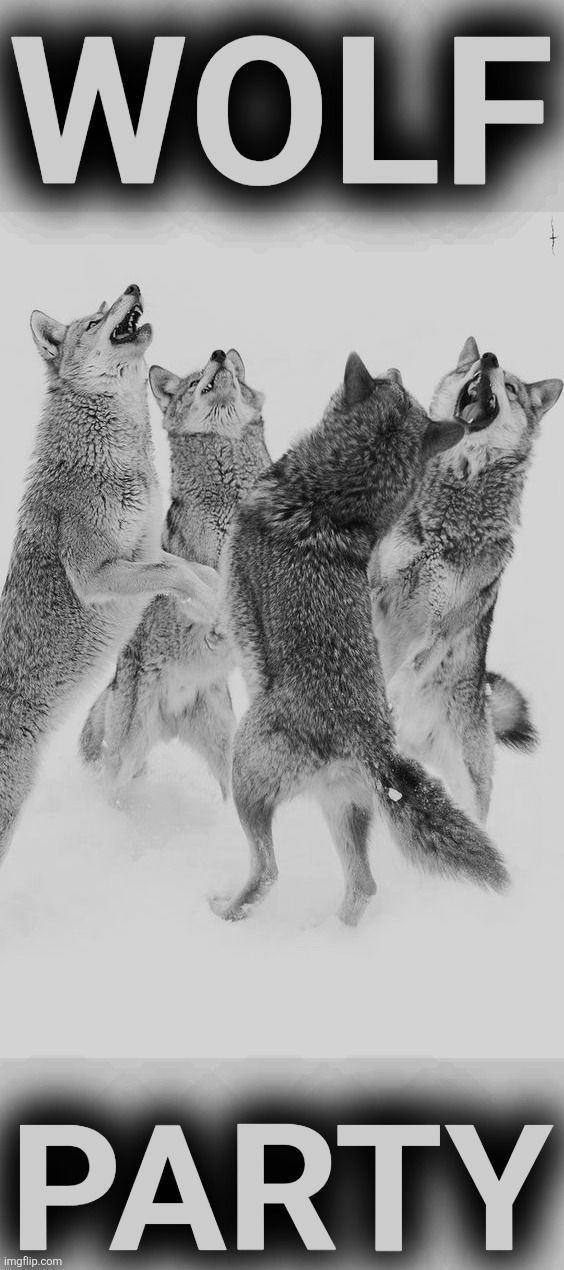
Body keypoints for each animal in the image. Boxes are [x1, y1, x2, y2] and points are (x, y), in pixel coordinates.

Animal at [0, 285, 218, 859]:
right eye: (95, 321)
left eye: (106, 305)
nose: (133, 287)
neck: (112, 454)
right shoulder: (97, 576)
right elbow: (179, 578)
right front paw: (212, 610)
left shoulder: (144, 551)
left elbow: (190, 570)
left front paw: (220, 599)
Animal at [80, 349, 270, 797]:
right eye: (194, 381)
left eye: (233, 372)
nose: (220, 352)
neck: (230, 496)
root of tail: (171, 722)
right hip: (125, 756)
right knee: (111, 789)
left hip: (226, 755)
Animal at [212, 355, 509, 926]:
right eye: (399, 386)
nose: (391, 365)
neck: (326, 502)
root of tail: (371, 743)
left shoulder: (228, 581)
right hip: (342, 810)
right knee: (363, 887)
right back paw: (338, 938)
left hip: (245, 771)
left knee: (268, 873)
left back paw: (224, 914)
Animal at [369, 338, 562, 822]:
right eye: (472, 366)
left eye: (510, 388)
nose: (489, 358)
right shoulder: (378, 588)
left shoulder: (442, 625)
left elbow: (408, 668)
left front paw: (388, 696)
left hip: (468, 788)